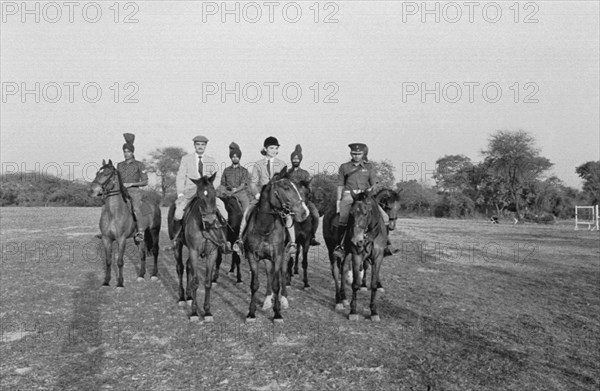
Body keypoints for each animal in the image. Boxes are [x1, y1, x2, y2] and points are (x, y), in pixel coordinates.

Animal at [88, 159, 161, 288]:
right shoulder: (106, 239)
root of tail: (154, 204)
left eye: (106, 173)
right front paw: (106, 281)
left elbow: (120, 262)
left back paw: (154, 275)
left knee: (155, 251)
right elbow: (108, 261)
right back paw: (141, 275)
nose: (92, 191)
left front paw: (120, 283)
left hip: (154, 231)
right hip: (139, 238)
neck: (113, 214)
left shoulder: (121, 239)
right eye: (97, 173)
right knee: (142, 254)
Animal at [166, 174, 223, 322]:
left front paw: (207, 311)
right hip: (178, 245)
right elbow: (196, 282)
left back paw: (189, 296)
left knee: (188, 267)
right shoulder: (193, 251)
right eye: (199, 196)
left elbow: (207, 282)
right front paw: (194, 312)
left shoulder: (212, 253)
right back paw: (182, 297)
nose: (210, 221)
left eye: (214, 194)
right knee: (180, 268)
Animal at [241, 167, 312, 324]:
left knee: (282, 275)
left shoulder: (278, 256)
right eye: (285, 187)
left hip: (284, 256)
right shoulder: (252, 257)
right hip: (267, 259)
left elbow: (277, 284)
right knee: (269, 275)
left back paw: (284, 300)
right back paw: (268, 300)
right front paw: (251, 313)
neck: (264, 227)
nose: (304, 212)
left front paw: (278, 313)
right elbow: (255, 284)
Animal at [324, 191, 390, 322]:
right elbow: (355, 284)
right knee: (335, 271)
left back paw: (344, 298)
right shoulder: (356, 256)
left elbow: (373, 285)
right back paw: (338, 301)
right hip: (331, 250)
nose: (356, 241)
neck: (370, 235)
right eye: (350, 213)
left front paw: (374, 312)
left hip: (347, 254)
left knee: (344, 270)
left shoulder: (378, 258)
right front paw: (353, 311)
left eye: (365, 213)